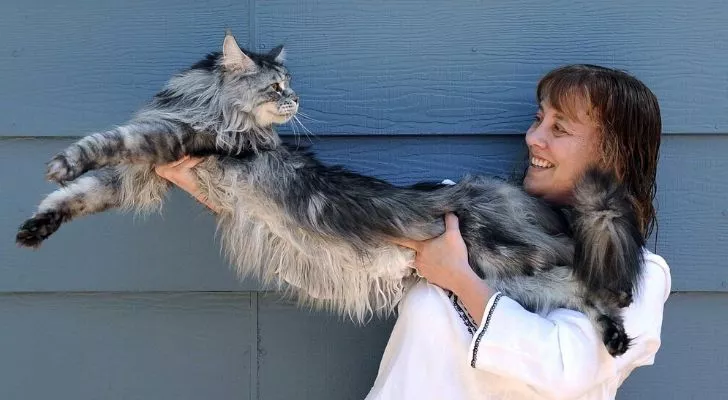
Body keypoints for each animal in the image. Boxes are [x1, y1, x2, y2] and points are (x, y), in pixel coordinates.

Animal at [15, 30, 644, 356]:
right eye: (276, 87)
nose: (295, 101)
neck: (204, 104)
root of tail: (511, 196)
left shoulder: (175, 140)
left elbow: (108, 142)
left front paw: (60, 160)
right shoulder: (139, 174)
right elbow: (79, 196)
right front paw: (35, 226)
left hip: (513, 260)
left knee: (598, 279)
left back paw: (618, 327)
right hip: (516, 283)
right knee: (586, 295)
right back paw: (615, 338)